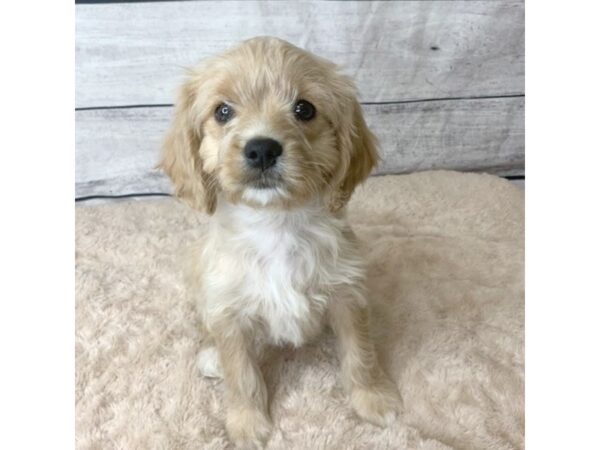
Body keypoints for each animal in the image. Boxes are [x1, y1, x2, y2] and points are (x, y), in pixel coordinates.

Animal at [159, 37, 398, 448]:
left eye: (304, 109)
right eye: (223, 111)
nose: (262, 149)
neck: (276, 224)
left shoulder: (347, 294)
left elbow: (359, 353)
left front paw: (372, 399)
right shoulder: (229, 311)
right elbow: (241, 373)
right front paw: (247, 423)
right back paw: (211, 357)